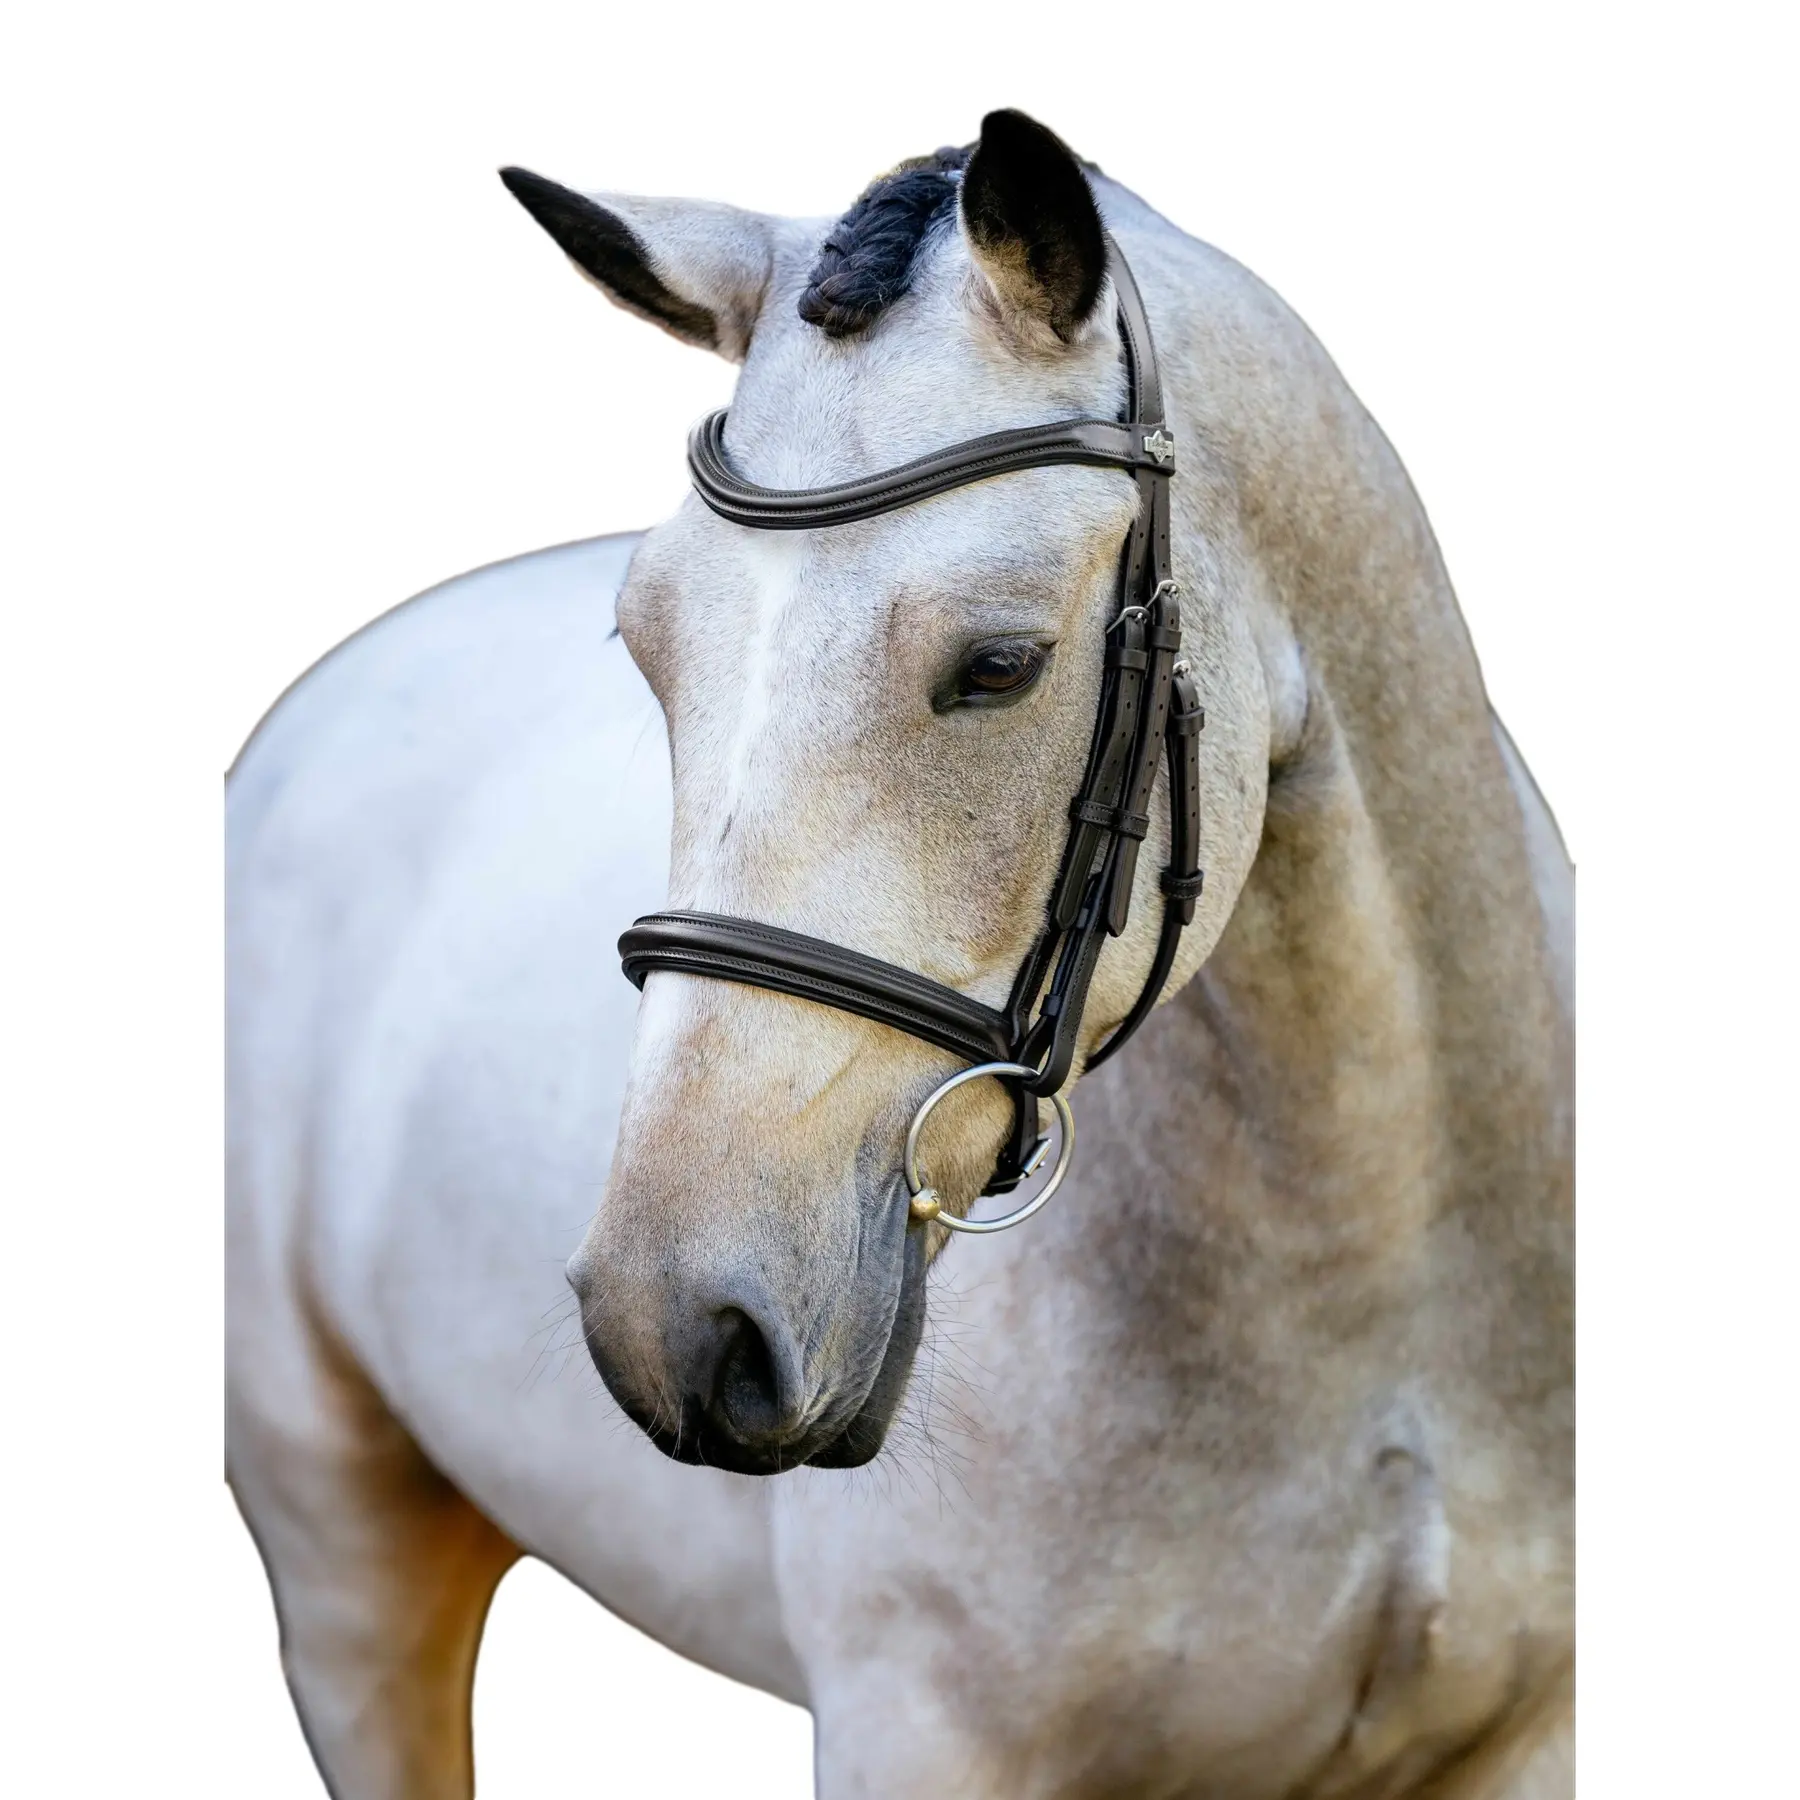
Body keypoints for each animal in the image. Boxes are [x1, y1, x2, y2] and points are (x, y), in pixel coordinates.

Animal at [226, 109, 1573, 1797]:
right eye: (648, 647)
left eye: (1000, 664)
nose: (676, 1323)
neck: (1371, 1284)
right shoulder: (918, 1734)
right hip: (341, 1555)